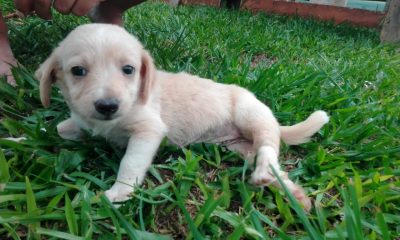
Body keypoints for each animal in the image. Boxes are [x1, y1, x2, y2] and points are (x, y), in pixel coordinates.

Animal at [36, 23, 328, 211]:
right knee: (275, 165)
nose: (108, 106)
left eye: (128, 69)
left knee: (268, 148)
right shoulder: (82, 122)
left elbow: (130, 163)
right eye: (78, 71)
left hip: (251, 114)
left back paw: (265, 175)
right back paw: (295, 195)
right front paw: (29, 136)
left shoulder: (149, 129)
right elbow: (60, 128)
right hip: (242, 148)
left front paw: (120, 193)